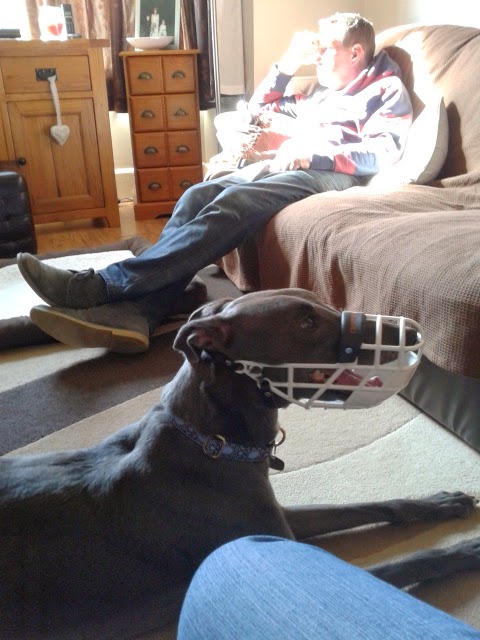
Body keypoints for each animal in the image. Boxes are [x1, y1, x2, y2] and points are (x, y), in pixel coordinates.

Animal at [1, 288, 478, 639]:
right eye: (305, 322)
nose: (413, 334)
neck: (211, 442)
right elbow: (412, 561)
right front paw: (468, 549)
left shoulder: (280, 522)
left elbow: (366, 506)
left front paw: (439, 502)